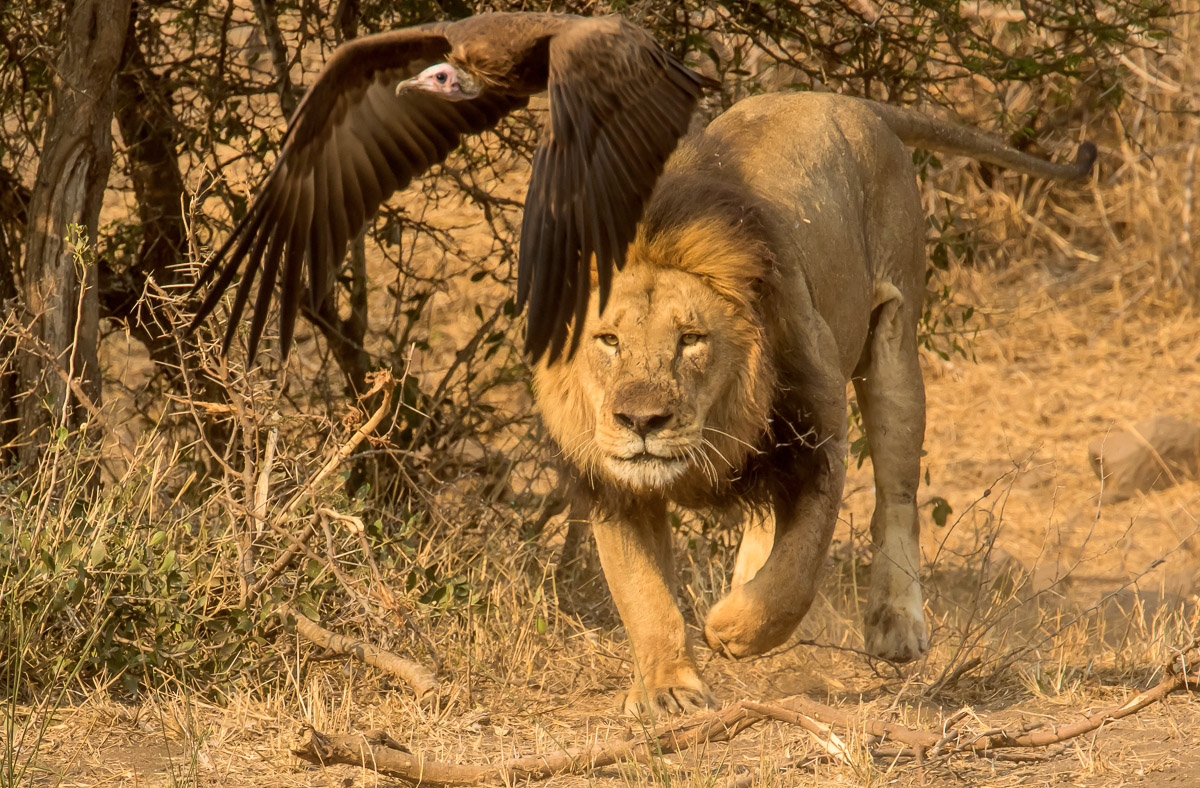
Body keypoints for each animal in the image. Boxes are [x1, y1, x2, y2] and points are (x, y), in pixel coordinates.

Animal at [535, 92, 1099, 714]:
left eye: (692, 339)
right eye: (608, 340)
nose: (640, 421)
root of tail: (847, 100)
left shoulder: (818, 436)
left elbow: (796, 573)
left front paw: (731, 628)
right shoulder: (613, 481)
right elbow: (643, 594)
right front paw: (669, 688)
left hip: (896, 343)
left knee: (896, 497)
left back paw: (895, 625)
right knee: (766, 513)